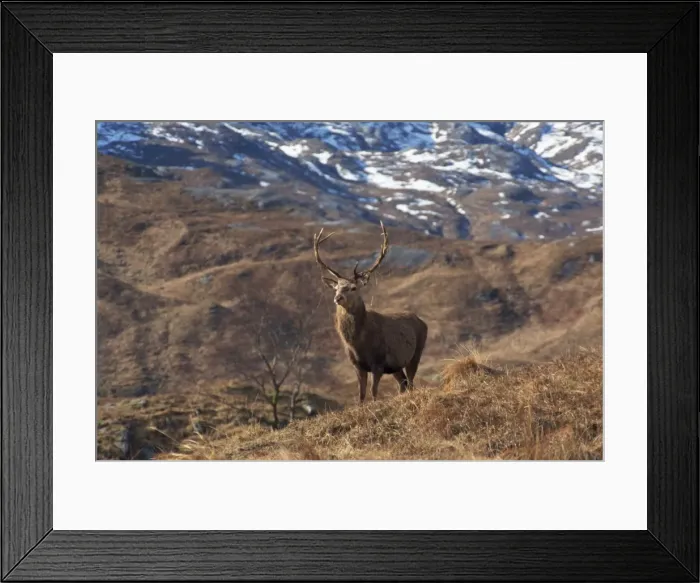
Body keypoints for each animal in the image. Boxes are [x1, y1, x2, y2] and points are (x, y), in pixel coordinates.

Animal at [313, 221, 428, 403]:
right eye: (336, 287)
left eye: (353, 287)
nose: (338, 298)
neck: (359, 343)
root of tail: (422, 322)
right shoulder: (357, 365)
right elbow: (360, 395)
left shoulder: (378, 362)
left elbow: (374, 392)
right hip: (396, 365)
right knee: (403, 383)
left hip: (416, 353)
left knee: (410, 382)